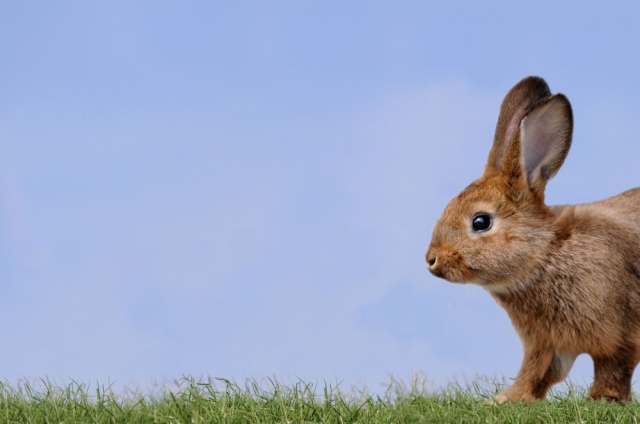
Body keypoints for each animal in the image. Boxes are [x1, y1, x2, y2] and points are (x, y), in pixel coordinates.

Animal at [424, 76, 640, 404]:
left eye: (480, 222)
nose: (431, 260)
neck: (546, 253)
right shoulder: (544, 343)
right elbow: (536, 372)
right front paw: (504, 400)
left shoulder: (618, 336)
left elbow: (613, 369)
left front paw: (604, 400)